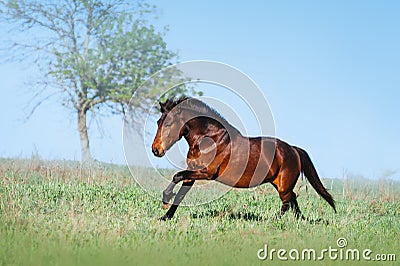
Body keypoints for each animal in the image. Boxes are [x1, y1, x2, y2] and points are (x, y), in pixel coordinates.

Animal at [152, 96, 336, 221]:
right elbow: (180, 193)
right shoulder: (192, 172)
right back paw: (300, 220)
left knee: (287, 202)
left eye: (168, 124)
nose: (155, 150)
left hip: (284, 184)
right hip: (278, 183)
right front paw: (165, 216)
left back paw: (273, 220)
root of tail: (293, 149)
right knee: (293, 199)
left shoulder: (207, 173)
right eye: (158, 122)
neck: (209, 139)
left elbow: (177, 176)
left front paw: (165, 199)